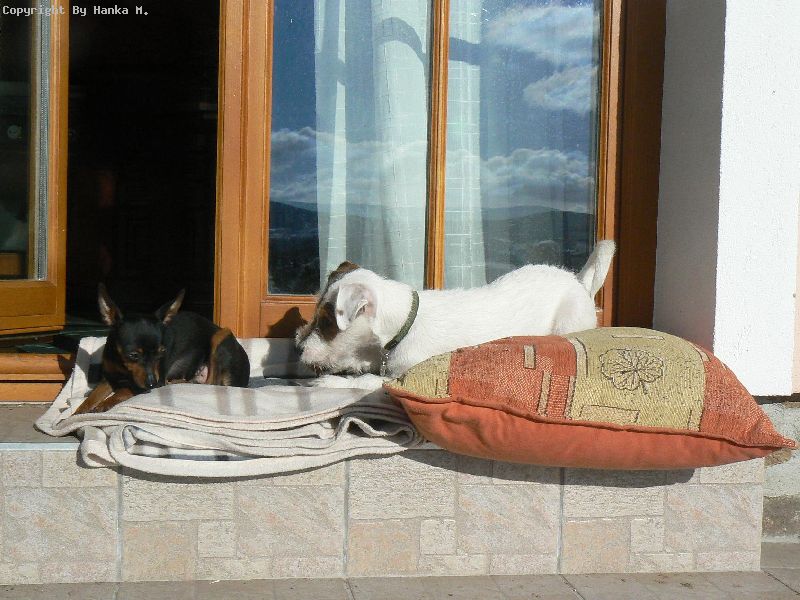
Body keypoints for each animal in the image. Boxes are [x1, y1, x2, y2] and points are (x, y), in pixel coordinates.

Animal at [74, 284, 250, 414]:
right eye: (133, 355)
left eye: (161, 353)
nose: (152, 384)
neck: (123, 365)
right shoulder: (109, 377)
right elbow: (91, 398)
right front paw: (75, 414)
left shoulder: (142, 384)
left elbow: (123, 390)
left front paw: (105, 403)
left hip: (221, 335)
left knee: (211, 383)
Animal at [296, 240, 615, 389]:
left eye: (326, 323)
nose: (297, 346)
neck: (406, 323)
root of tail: (578, 282)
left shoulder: (404, 376)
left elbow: (366, 381)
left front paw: (329, 382)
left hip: (568, 322)